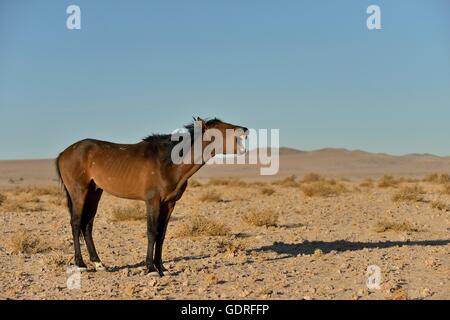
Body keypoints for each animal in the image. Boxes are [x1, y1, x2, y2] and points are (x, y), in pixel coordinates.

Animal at [56, 116, 250, 276]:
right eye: (222, 128)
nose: (245, 129)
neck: (169, 163)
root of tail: (63, 153)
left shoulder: (169, 204)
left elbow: (161, 234)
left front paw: (161, 267)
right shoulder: (152, 202)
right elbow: (151, 232)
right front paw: (150, 269)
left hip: (95, 192)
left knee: (87, 225)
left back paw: (99, 264)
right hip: (79, 192)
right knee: (76, 223)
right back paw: (81, 264)